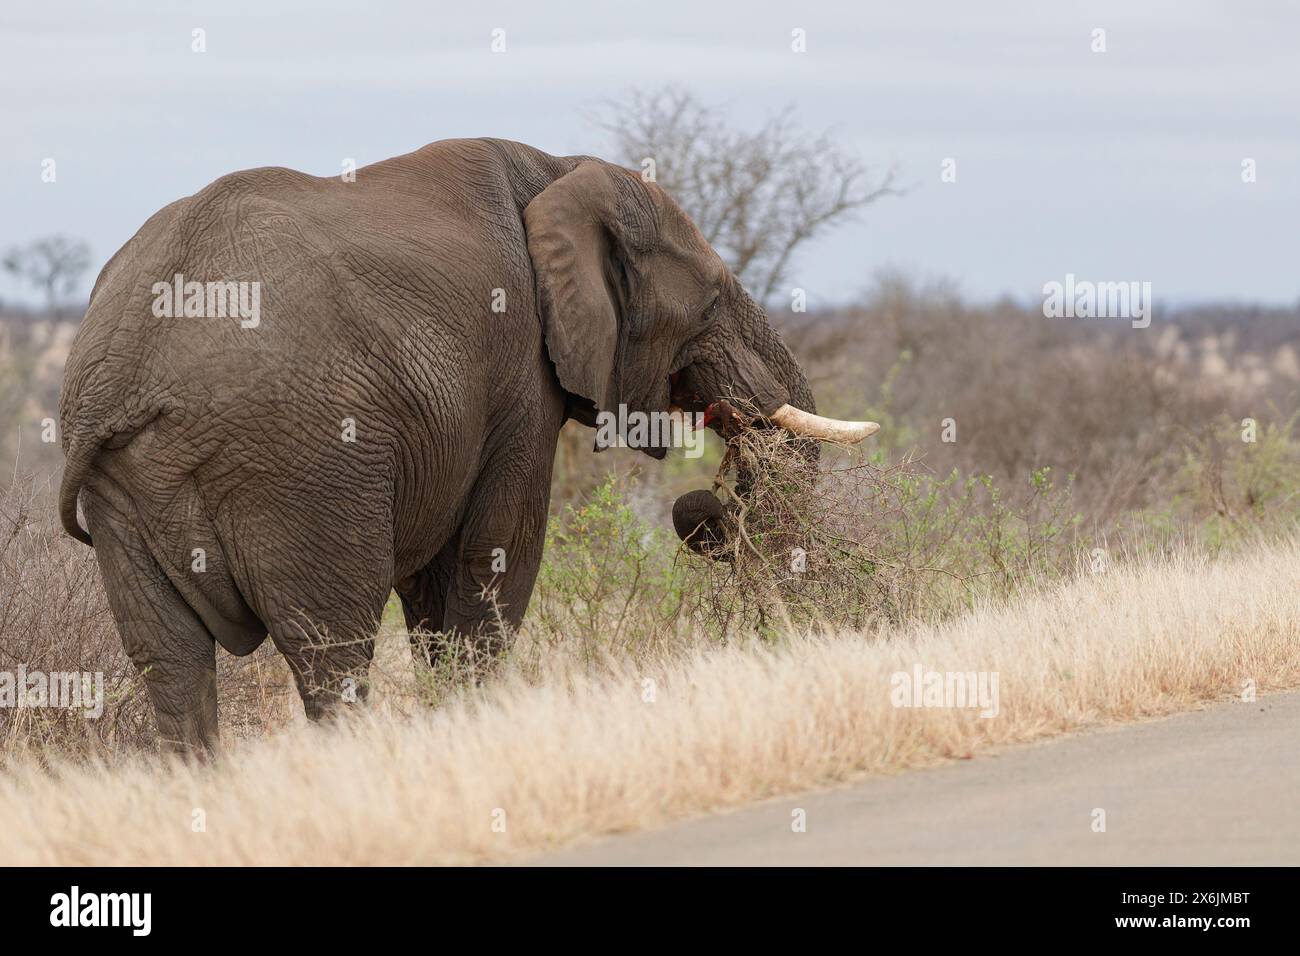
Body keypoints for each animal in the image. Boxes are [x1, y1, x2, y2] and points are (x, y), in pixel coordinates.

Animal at [58, 140, 873, 754]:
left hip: (128, 489)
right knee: (331, 652)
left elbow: (433, 591)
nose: (706, 505)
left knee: (170, 663)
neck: (556, 171)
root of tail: (121, 366)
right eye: (708, 303)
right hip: (296, 465)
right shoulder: (516, 378)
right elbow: (497, 554)